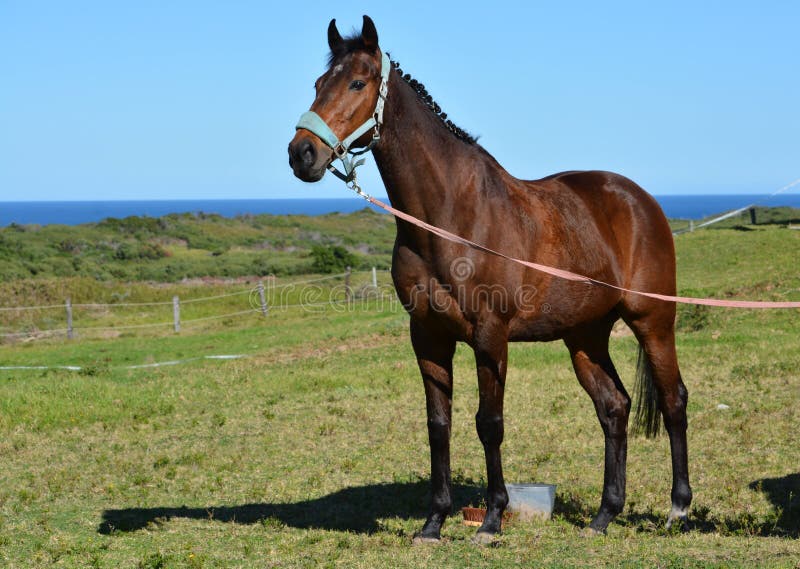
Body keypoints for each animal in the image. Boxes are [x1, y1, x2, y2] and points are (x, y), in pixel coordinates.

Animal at [288, 15, 688, 544]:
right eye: (318, 84)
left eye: (357, 83)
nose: (301, 154)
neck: (449, 217)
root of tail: (639, 200)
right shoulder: (428, 336)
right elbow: (439, 424)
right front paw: (433, 522)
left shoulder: (489, 336)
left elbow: (488, 422)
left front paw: (492, 520)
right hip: (585, 335)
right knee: (614, 407)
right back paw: (604, 515)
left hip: (653, 321)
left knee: (673, 400)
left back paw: (678, 509)